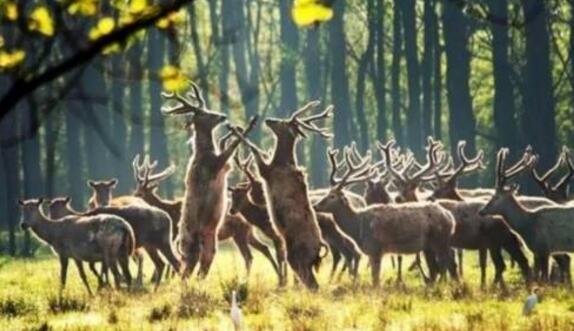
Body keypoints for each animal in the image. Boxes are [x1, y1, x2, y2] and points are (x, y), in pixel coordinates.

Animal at [133, 156, 282, 280]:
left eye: (141, 192)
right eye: (137, 189)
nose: (133, 196)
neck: (169, 209)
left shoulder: (177, 232)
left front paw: (167, 277)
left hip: (240, 233)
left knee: (249, 256)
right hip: (248, 233)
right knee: (264, 248)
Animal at [161, 81, 258, 278]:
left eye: (208, 108)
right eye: (205, 113)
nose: (222, 116)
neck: (205, 152)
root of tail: (178, 239)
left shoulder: (225, 167)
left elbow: (224, 145)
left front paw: (236, 129)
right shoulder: (214, 166)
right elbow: (230, 148)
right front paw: (249, 125)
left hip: (210, 241)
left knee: (202, 267)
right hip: (190, 244)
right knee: (186, 270)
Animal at [225, 101, 332, 290]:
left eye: (282, 122)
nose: (269, 119)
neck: (280, 161)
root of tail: (320, 247)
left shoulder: (266, 171)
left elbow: (254, 148)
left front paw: (236, 128)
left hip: (297, 255)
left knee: (310, 282)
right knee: (311, 281)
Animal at [316, 147, 460, 286]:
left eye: (332, 196)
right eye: (327, 193)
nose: (316, 205)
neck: (358, 227)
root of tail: (450, 218)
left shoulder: (375, 248)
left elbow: (375, 280)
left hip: (440, 240)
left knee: (446, 262)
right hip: (429, 246)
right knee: (437, 267)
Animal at [482, 149, 574, 284]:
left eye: (496, 197)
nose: (481, 211)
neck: (528, 226)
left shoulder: (544, 247)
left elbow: (544, 279)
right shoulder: (538, 251)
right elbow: (539, 276)